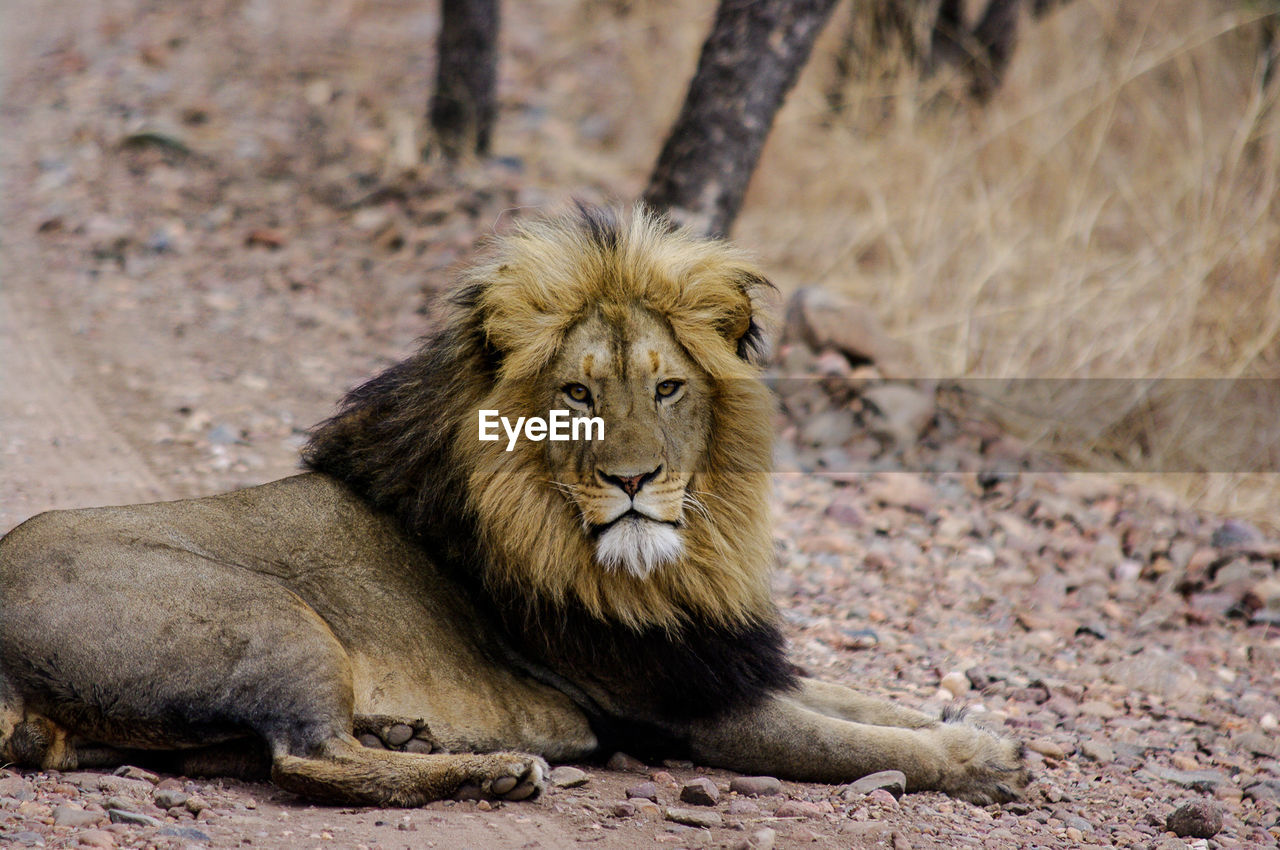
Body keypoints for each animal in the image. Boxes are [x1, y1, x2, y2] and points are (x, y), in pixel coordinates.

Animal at [0, 204, 1024, 803]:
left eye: (666, 390)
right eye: (575, 394)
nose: (633, 480)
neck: (662, 568)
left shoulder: (718, 659)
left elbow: (873, 703)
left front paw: (975, 729)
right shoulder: (686, 710)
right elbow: (845, 741)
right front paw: (984, 765)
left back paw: (412, 733)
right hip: (273, 613)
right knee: (309, 759)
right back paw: (499, 771)